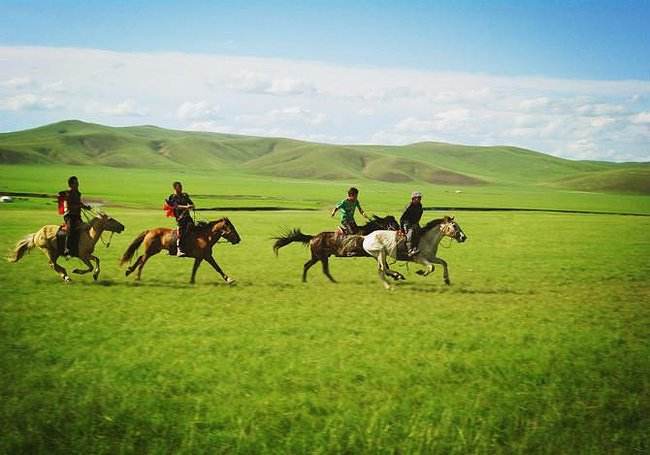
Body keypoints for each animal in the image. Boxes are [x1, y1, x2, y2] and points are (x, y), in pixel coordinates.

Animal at [270, 216, 398, 284]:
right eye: (393, 223)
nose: (400, 229)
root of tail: (313, 237)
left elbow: (384, 264)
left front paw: (395, 276)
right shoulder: (372, 254)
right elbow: (385, 265)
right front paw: (396, 275)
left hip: (317, 257)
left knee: (307, 265)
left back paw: (305, 280)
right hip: (321, 257)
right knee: (323, 270)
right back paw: (334, 282)